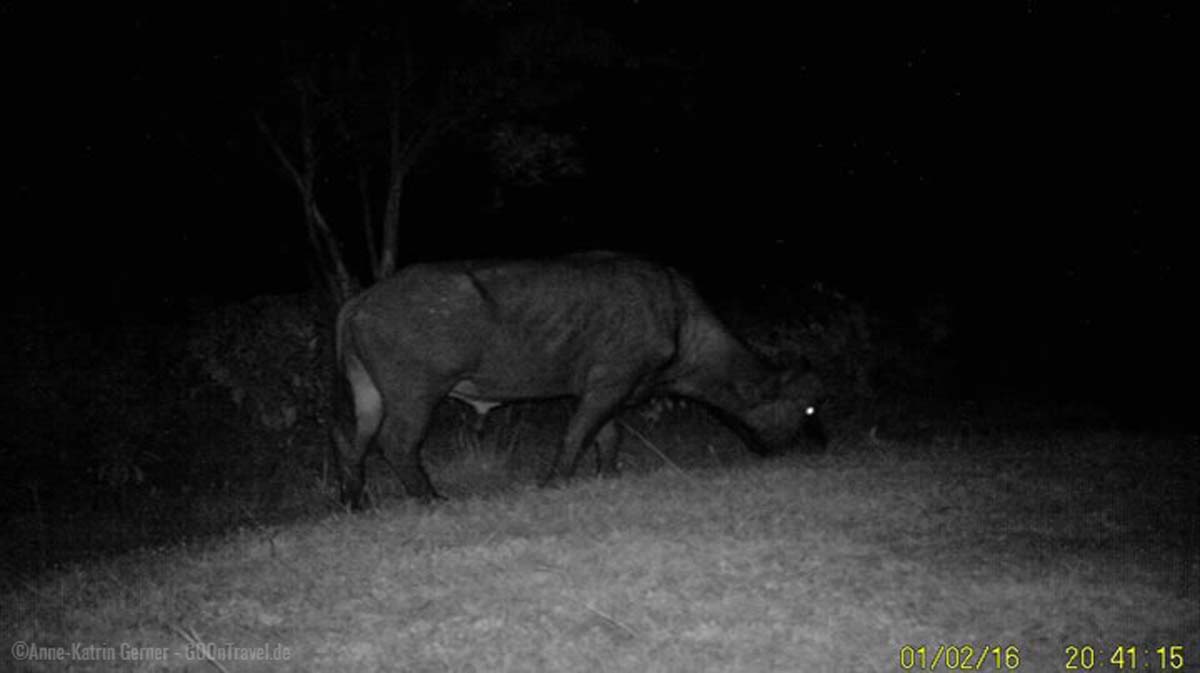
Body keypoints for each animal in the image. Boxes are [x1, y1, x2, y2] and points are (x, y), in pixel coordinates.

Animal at [338, 250, 825, 503]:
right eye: (808, 409)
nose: (819, 445)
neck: (679, 318)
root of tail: (362, 300)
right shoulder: (609, 384)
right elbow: (577, 434)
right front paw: (555, 481)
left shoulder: (609, 390)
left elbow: (608, 435)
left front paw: (607, 474)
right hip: (416, 395)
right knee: (397, 443)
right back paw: (432, 498)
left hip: (368, 395)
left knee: (356, 442)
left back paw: (354, 500)